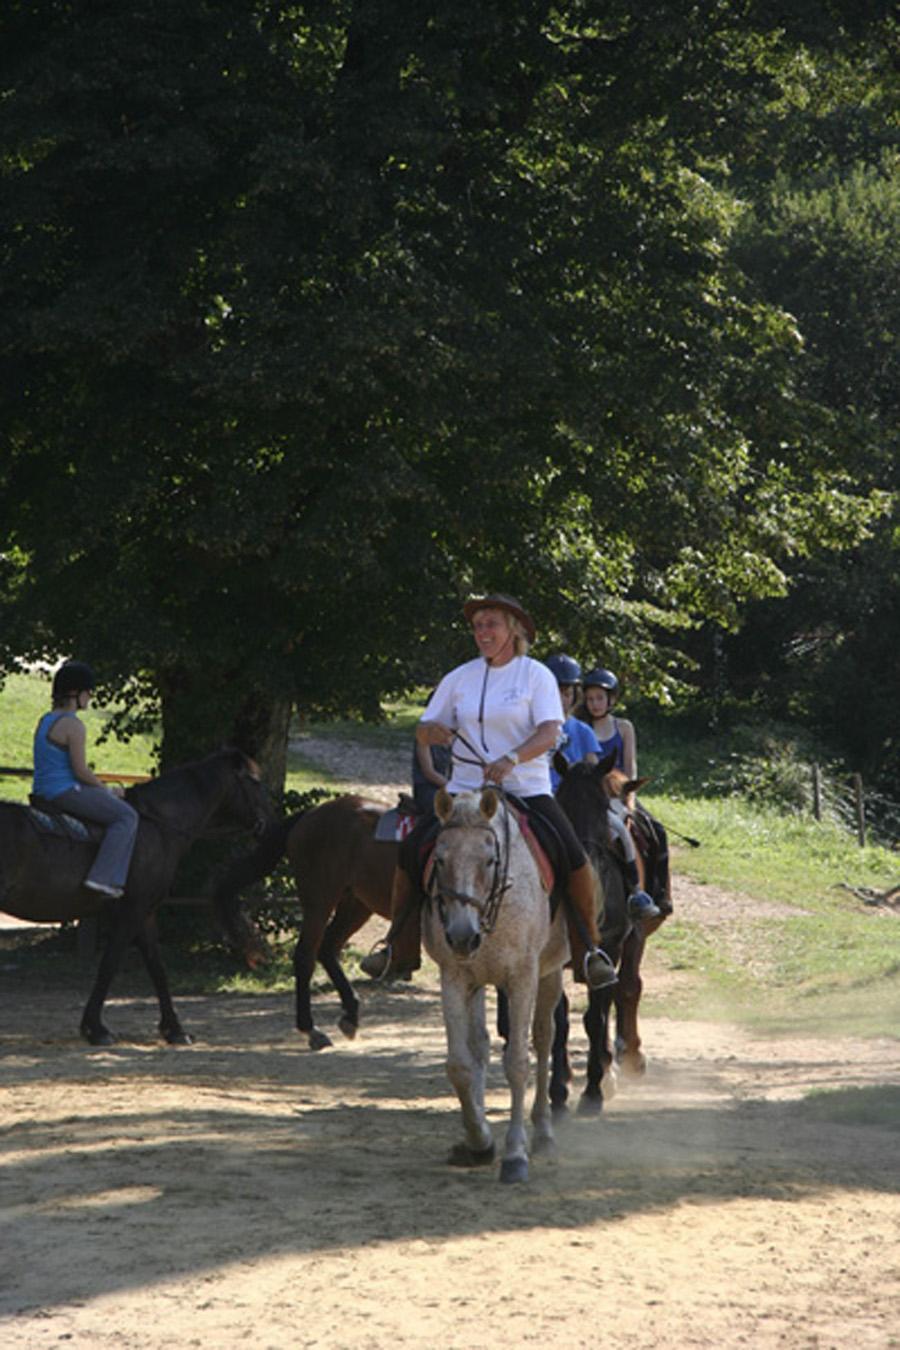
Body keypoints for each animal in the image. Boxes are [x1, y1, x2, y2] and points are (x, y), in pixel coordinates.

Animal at [1, 750, 272, 1042]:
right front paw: (95, 1028)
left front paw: (174, 1030)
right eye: (255, 782)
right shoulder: (132, 910)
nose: (269, 821)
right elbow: (109, 965)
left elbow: (157, 968)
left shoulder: (146, 913)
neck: (158, 826)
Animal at [423, 788, 569, 1188]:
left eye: (489, 860)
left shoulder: (522, 977)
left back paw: (544, 1133)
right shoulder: (455, 978)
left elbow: (518, 1062)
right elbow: (460, 1065)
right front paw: (480, 1141)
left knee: (544, 1039)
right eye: (439, 859)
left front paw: (515, 1154)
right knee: (481, 1046)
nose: (461, 935)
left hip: (549, 975)